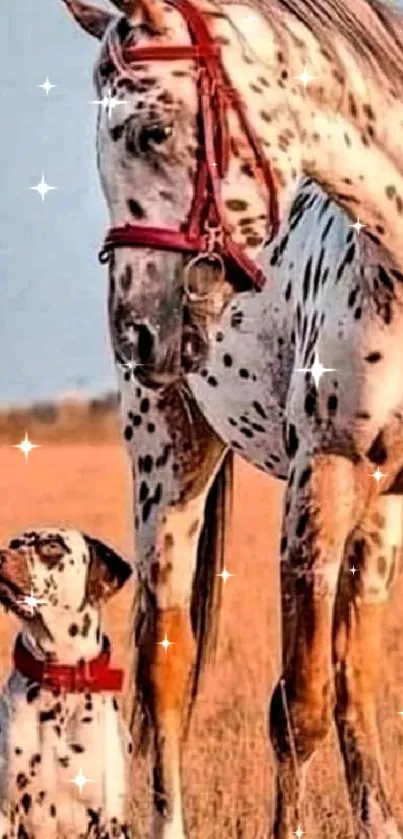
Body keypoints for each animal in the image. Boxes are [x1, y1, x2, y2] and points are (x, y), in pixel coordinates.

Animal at [60, 1, 403, 839]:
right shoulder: (322, 474)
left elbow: (339, 688)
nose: (138, 328)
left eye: (151, 131)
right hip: (167, 459)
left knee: (352, 677)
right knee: (166, 665)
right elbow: (297, 706)